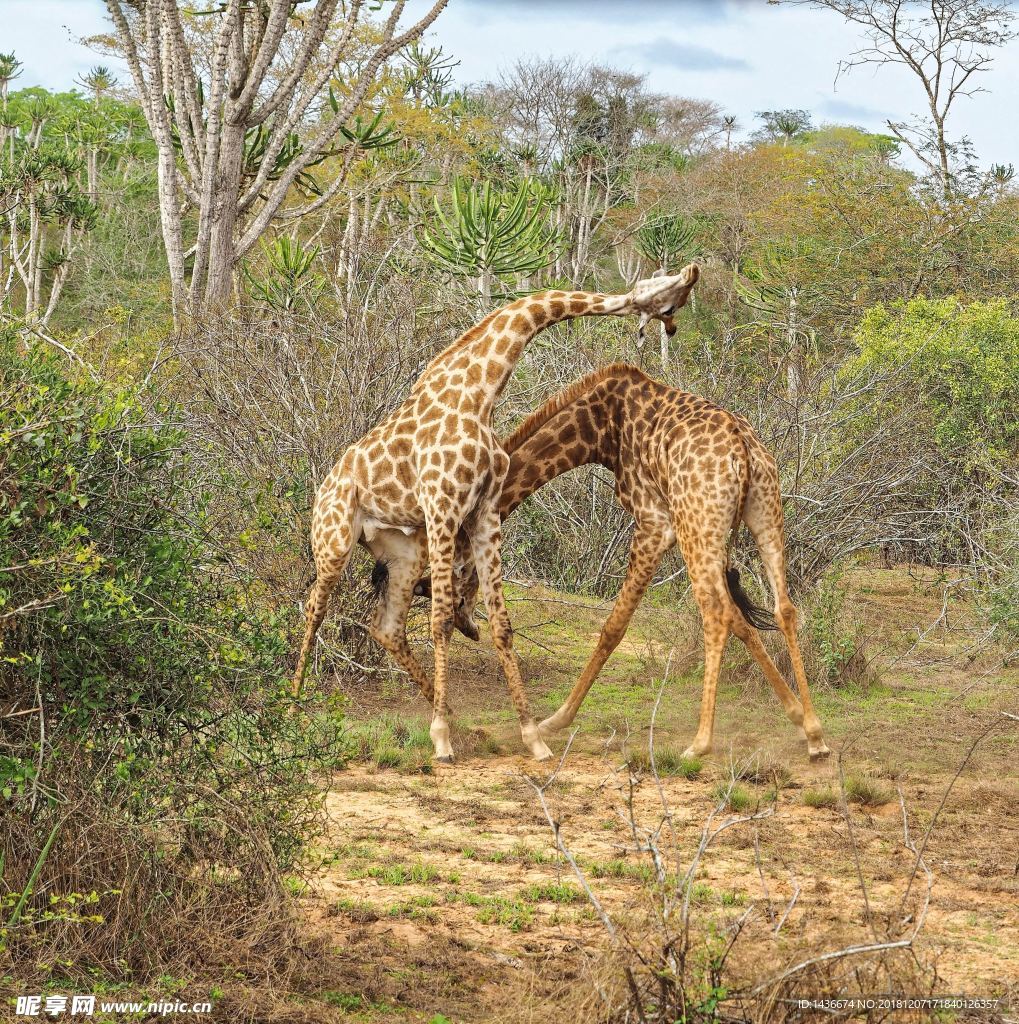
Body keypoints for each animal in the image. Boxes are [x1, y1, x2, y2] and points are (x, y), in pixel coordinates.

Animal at [405, 364, 827, 757]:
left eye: (458, 571)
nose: (469, 628)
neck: (600, 427)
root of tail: (742, 449)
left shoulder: (654, 523)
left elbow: (613, 626)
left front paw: (554, 720)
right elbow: (744, 622)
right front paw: (797, 716)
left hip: (698, 523)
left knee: (716, 612)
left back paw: (701, 742)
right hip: (764, 512)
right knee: (784, 608)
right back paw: (815, 734)